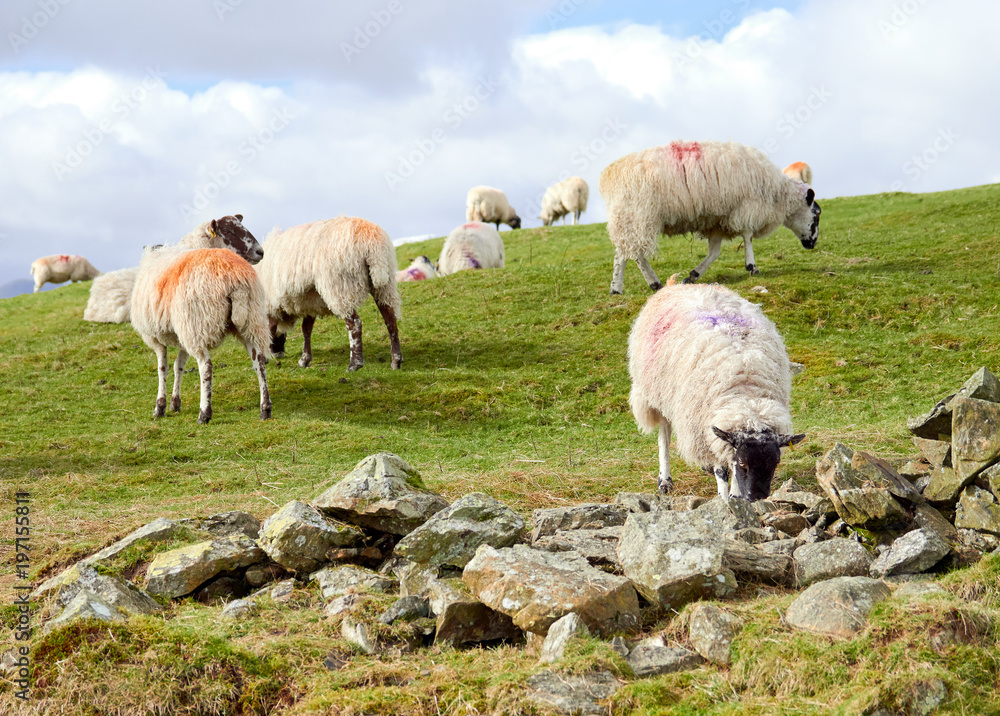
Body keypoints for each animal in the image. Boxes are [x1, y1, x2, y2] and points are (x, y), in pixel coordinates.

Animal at [129, 215, 272, 424]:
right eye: (227, 231)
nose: (260, 251)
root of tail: (236, 280)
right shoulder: (181, 332)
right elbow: (178, 366)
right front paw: (175, 403)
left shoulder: (156, 336)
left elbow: (163, 368)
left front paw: (160, 407)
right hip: (250, 320)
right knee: (259, 361)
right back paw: (265, 409)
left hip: (198, 323)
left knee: (206, 366)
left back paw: (204, 413)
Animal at [255, 215, 402, 372]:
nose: (279, 354)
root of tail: (371, 242)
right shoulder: (309, 301)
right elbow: (306, 329)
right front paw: (305, 359)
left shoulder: (272, 304)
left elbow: (272, 328)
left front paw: (266, 357)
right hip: (384, 286)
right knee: (390, 320)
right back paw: (396, 361)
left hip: (341, 287)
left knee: (355, 324)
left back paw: (355, 364)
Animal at [599, 140, 822, 294]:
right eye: (817, 214)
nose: (812, 244)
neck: (778, 193)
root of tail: (609, 175)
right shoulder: (746, 207)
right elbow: (747, 236)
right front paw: (752, 267)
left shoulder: (717, 221)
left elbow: (714, 252)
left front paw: (694, 275)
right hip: (638, 215)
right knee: (634, 253)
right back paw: (649, 283)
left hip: (628, 218)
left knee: (624, 252)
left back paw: (617, 288)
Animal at [628, 277, 805, 500]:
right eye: (743, 463)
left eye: (776, 462)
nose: (757, 497)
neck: (746, 393)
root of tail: (675, 285)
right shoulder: (707, 421)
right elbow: (722, 470)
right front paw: (725, 498)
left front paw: (736, 497)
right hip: (658, 393)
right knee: (664, 436)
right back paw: (665, 480)